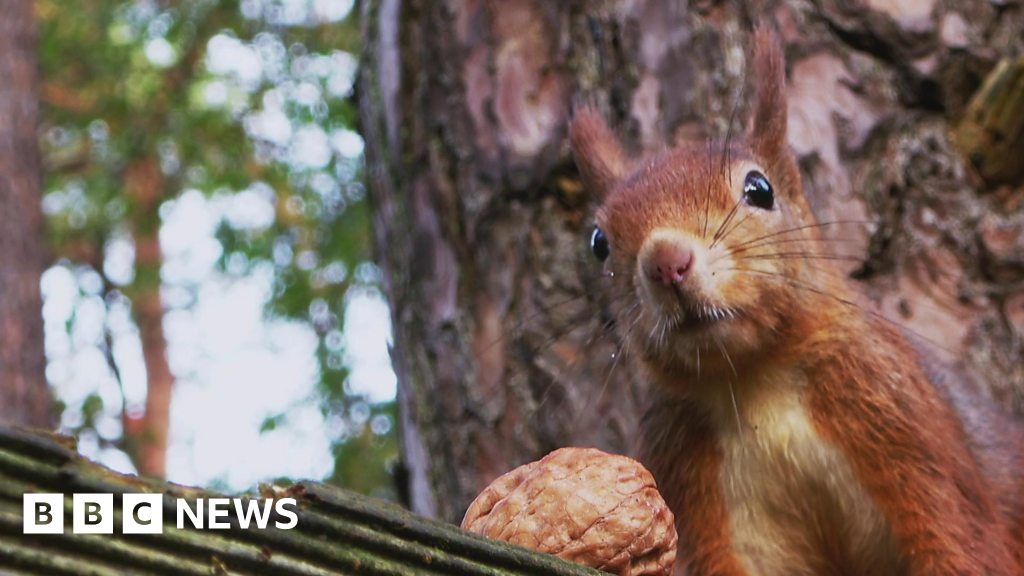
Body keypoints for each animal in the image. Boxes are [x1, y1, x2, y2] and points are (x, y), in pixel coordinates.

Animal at [569, 26, 1024, 573]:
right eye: (599, 242)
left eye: (760, 189)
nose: (666, 262)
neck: (756, 381)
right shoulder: (694, 477)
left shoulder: (905, 420)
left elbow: (960, 541)